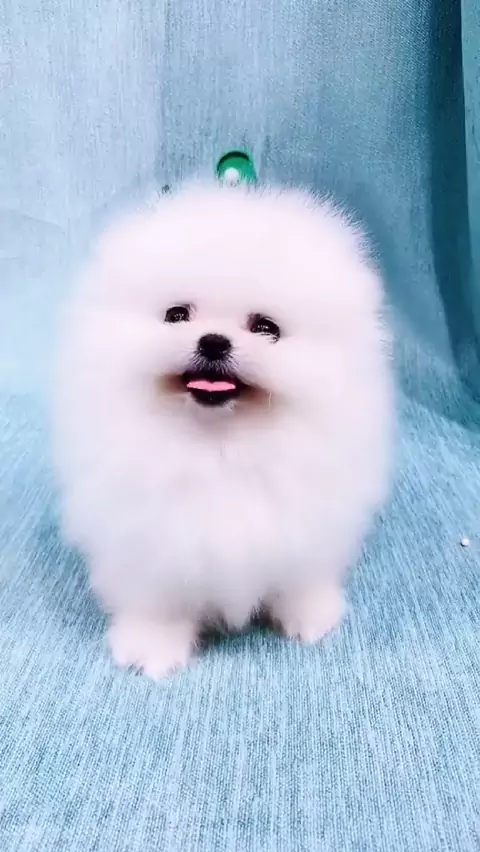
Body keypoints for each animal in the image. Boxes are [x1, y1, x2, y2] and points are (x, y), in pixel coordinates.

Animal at [54, 182, 393, 678]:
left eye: (266, 328)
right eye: (176, 315)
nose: (213, 341)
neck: (221, 445)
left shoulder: (307, 523)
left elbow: (300, 577)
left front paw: (309, 614)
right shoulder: (149, 539)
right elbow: (159, 600)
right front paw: (152, 646)